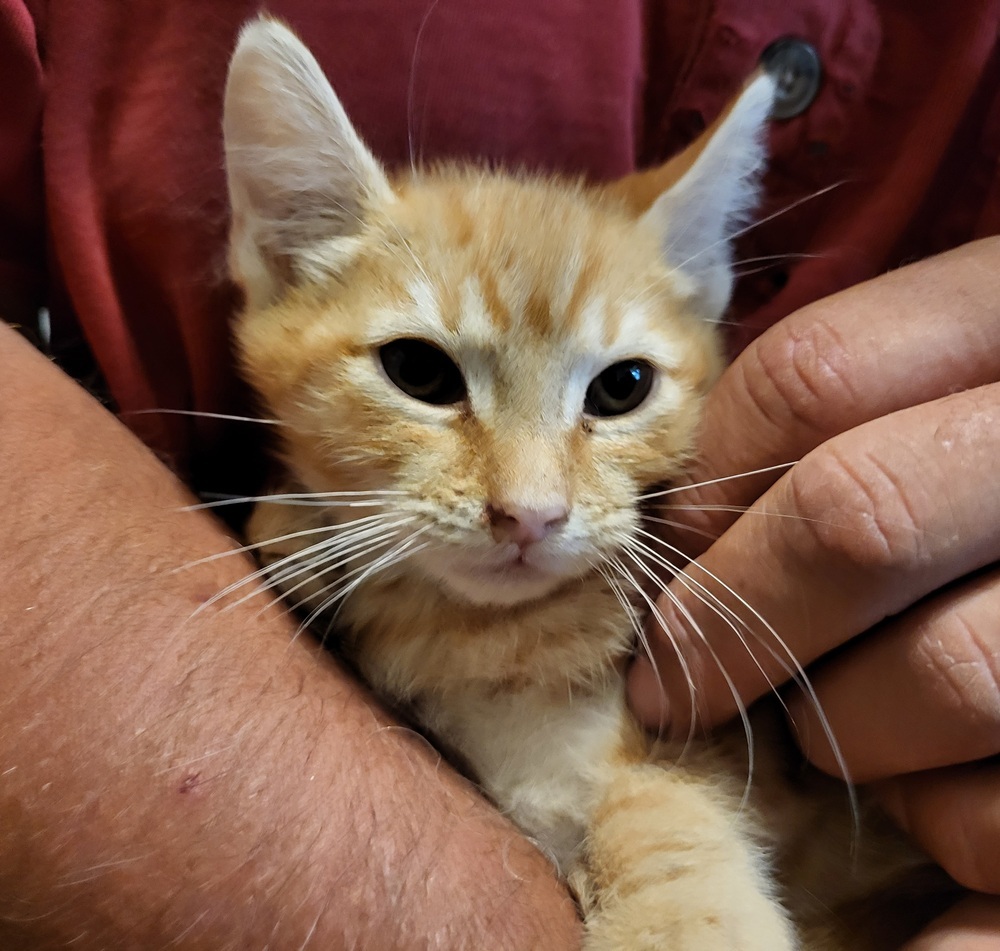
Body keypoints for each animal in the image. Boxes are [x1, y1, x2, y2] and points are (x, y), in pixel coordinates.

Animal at [223, 18, 948, 948]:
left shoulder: (686, 755)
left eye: (621, 387)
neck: (483, 643)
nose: (530, 515)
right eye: (419, 372)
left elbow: (673, 854)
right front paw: (301, 528)